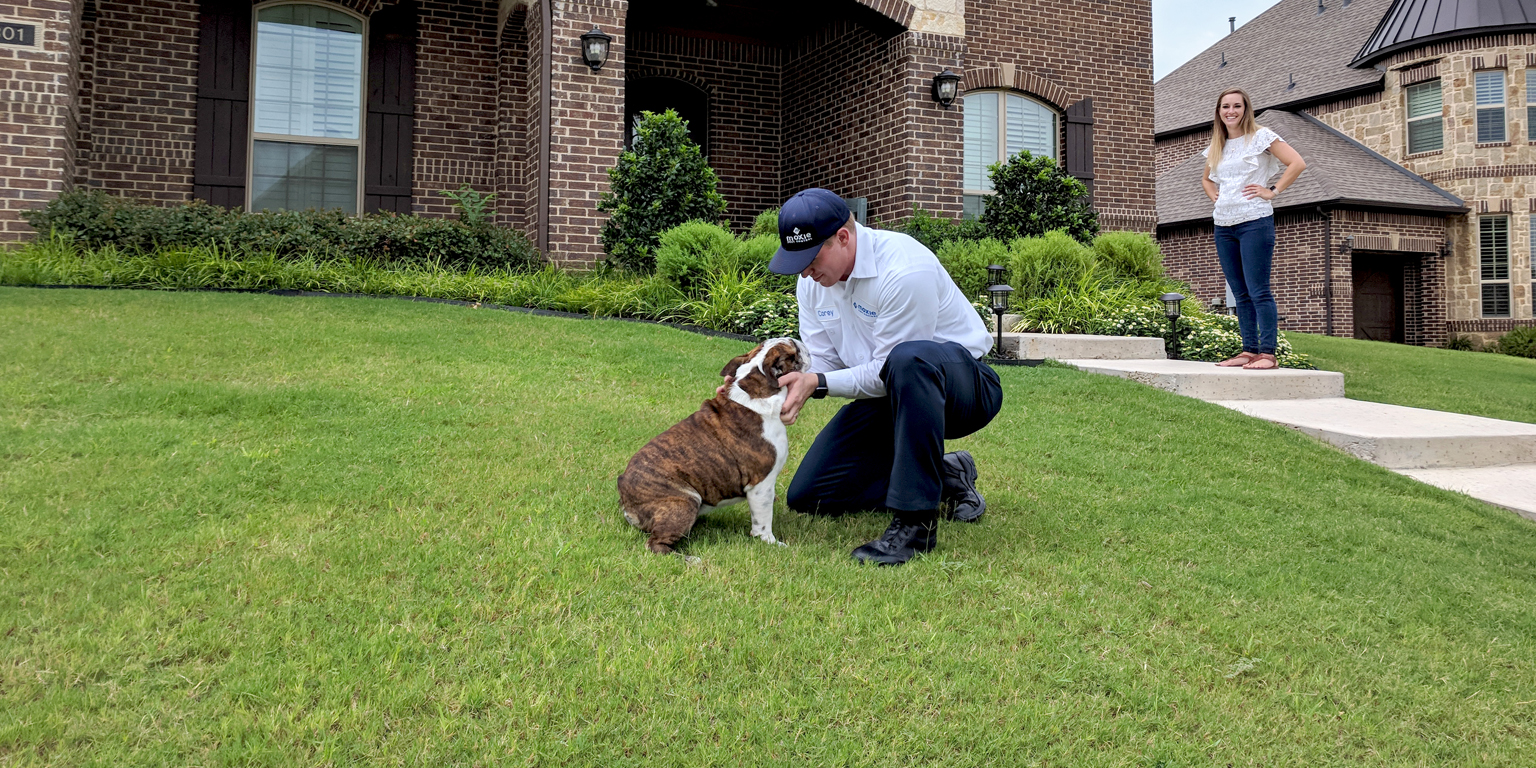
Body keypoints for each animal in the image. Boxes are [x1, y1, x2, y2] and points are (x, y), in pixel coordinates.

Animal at [618, 338, 811, 554]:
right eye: (795, 351)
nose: (802, 342)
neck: (757, 385)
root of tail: (623, 492)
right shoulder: (761, 484)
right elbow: (763, 520)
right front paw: (770, 541)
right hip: (685, 501)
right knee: (656, 544)